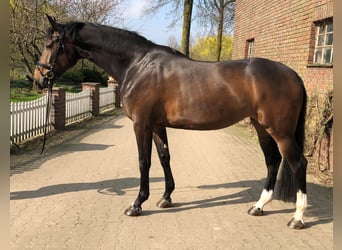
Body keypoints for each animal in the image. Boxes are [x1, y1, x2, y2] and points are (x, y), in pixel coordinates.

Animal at [34, 15, 308, 229]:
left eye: (49, 44)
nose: (38, 79)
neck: (136, 64)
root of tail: (293, 74)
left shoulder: (141, 124)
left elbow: (144, 162)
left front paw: (136, 204)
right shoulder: (157, 125)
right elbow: (164, 157)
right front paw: (165, 198)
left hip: (280, 131)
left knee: (297, 163)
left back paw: (297, 218)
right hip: (262, 127)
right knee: (272, 162)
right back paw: (259, 206)